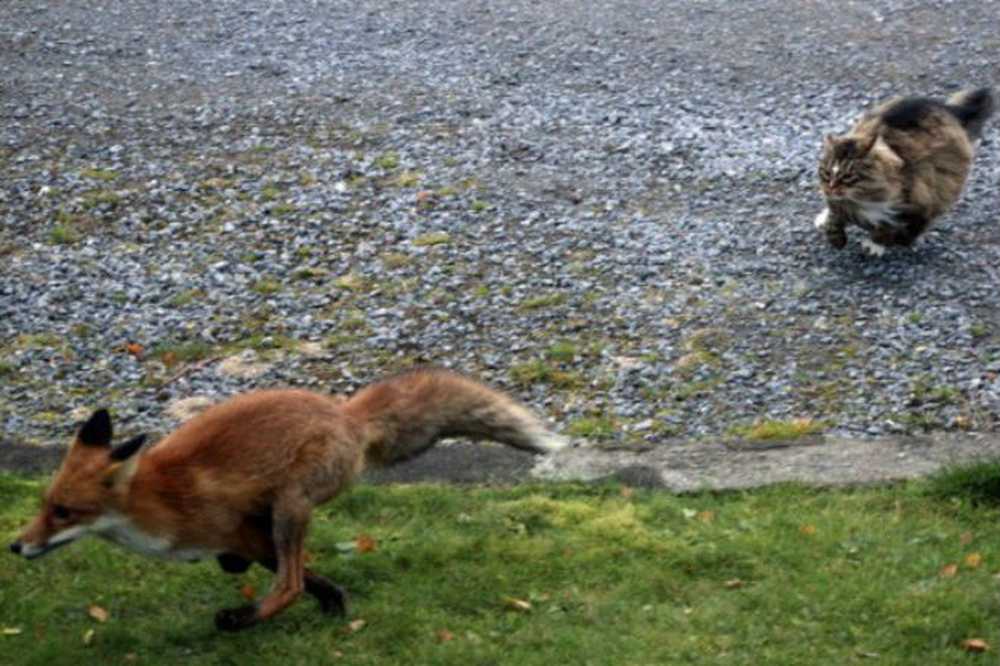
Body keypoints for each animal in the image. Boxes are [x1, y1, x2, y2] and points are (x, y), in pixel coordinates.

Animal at [7, 366, 568, 632]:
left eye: (64, 512)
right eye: (43, 505)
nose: (15, 546)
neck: (157, 501)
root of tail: (345, 415)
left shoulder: (241, 529)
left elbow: (295, 579)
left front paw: (315, 602)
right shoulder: (244, 539)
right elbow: (309, 577)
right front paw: (337, 600)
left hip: (290, 505)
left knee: (288, 584)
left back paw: (240, 620)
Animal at [812, 87, 992, 253]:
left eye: (848, 176)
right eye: (827, 173)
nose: (830, 188)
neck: (860, 201)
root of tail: (948, 108)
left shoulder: (917, 201)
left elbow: (891, 227)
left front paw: (877, 244)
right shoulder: (837, 203)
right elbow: (834, 217)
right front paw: (836, 239)